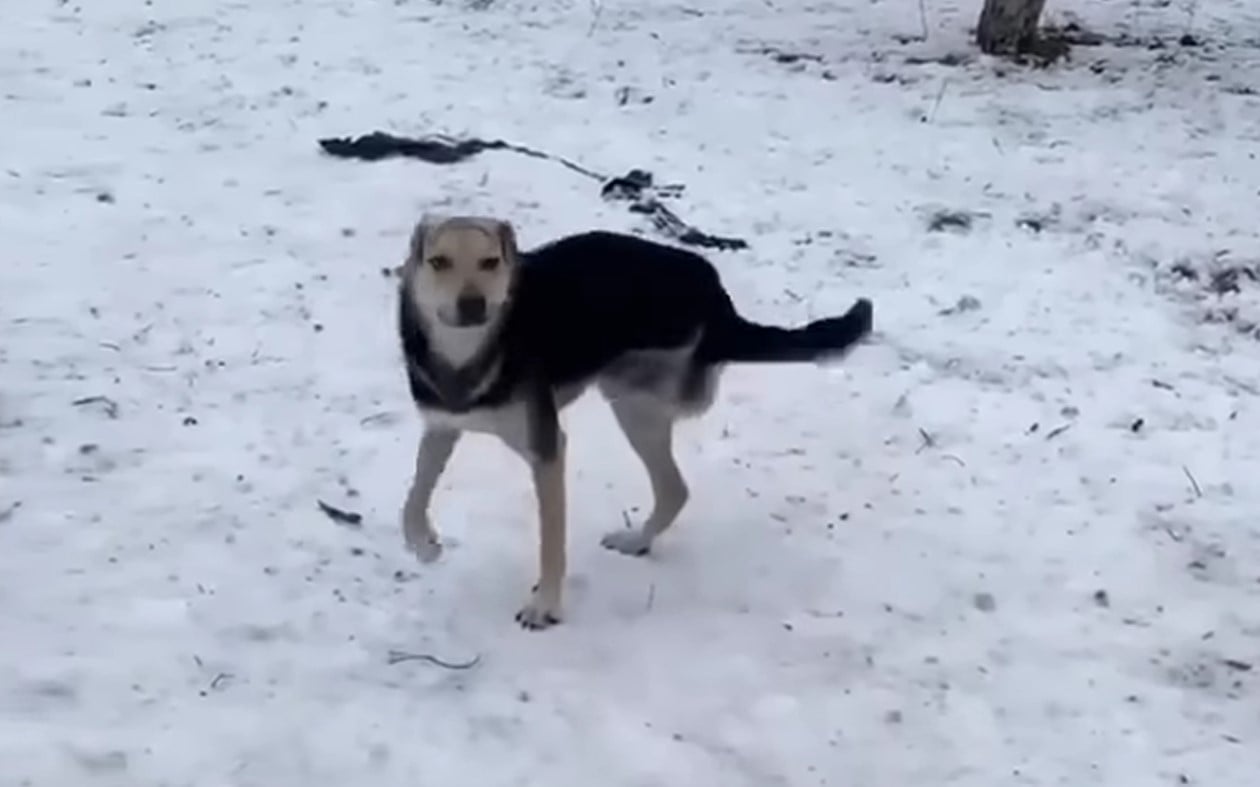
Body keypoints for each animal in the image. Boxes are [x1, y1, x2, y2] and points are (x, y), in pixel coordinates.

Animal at [398, 211, 871, 629]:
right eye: (438, 262)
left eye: (490, 262)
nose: (473, 304)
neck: (469, 354)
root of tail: (715, 295)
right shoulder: (440, 427)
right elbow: (413, 498)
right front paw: (424, 546)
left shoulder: (547, 448)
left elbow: (551, 543)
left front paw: (545, 606)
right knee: (674, 488)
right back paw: (638, 541)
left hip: (634, 400)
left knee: (674, 486)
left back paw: (638, 539)